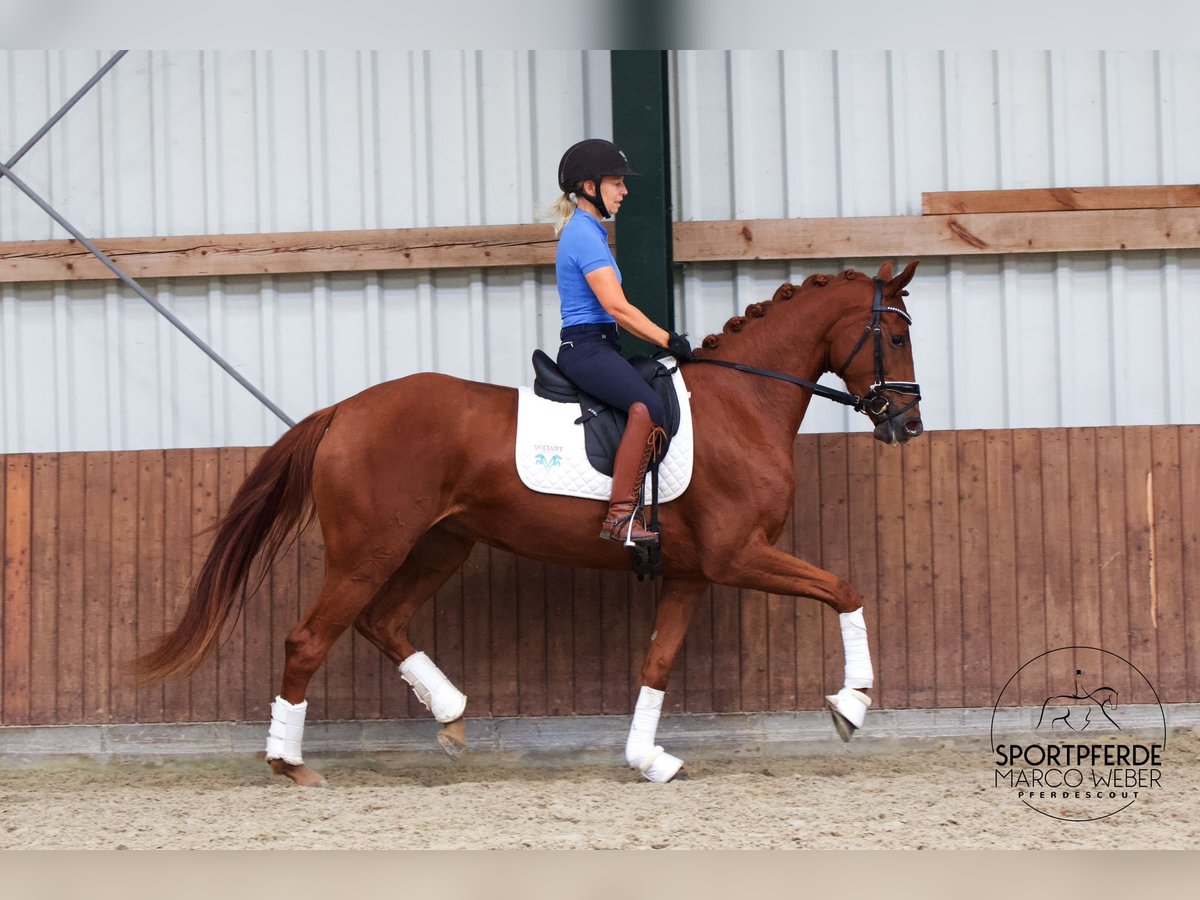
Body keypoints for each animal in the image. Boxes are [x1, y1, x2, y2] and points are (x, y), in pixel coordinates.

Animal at [138, 256, 926, 787]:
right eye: (893, 336)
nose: (908, 423)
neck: (742, 405)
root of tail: (344, 411)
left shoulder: (692, 572)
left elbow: (657, 663)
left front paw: (647, 758)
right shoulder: (738, 555)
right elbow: (846, 588)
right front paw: (852, 705)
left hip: (440, 545)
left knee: (382, 621)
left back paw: (451, 714)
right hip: (370, 550)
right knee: (310, 639)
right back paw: (291, 764)